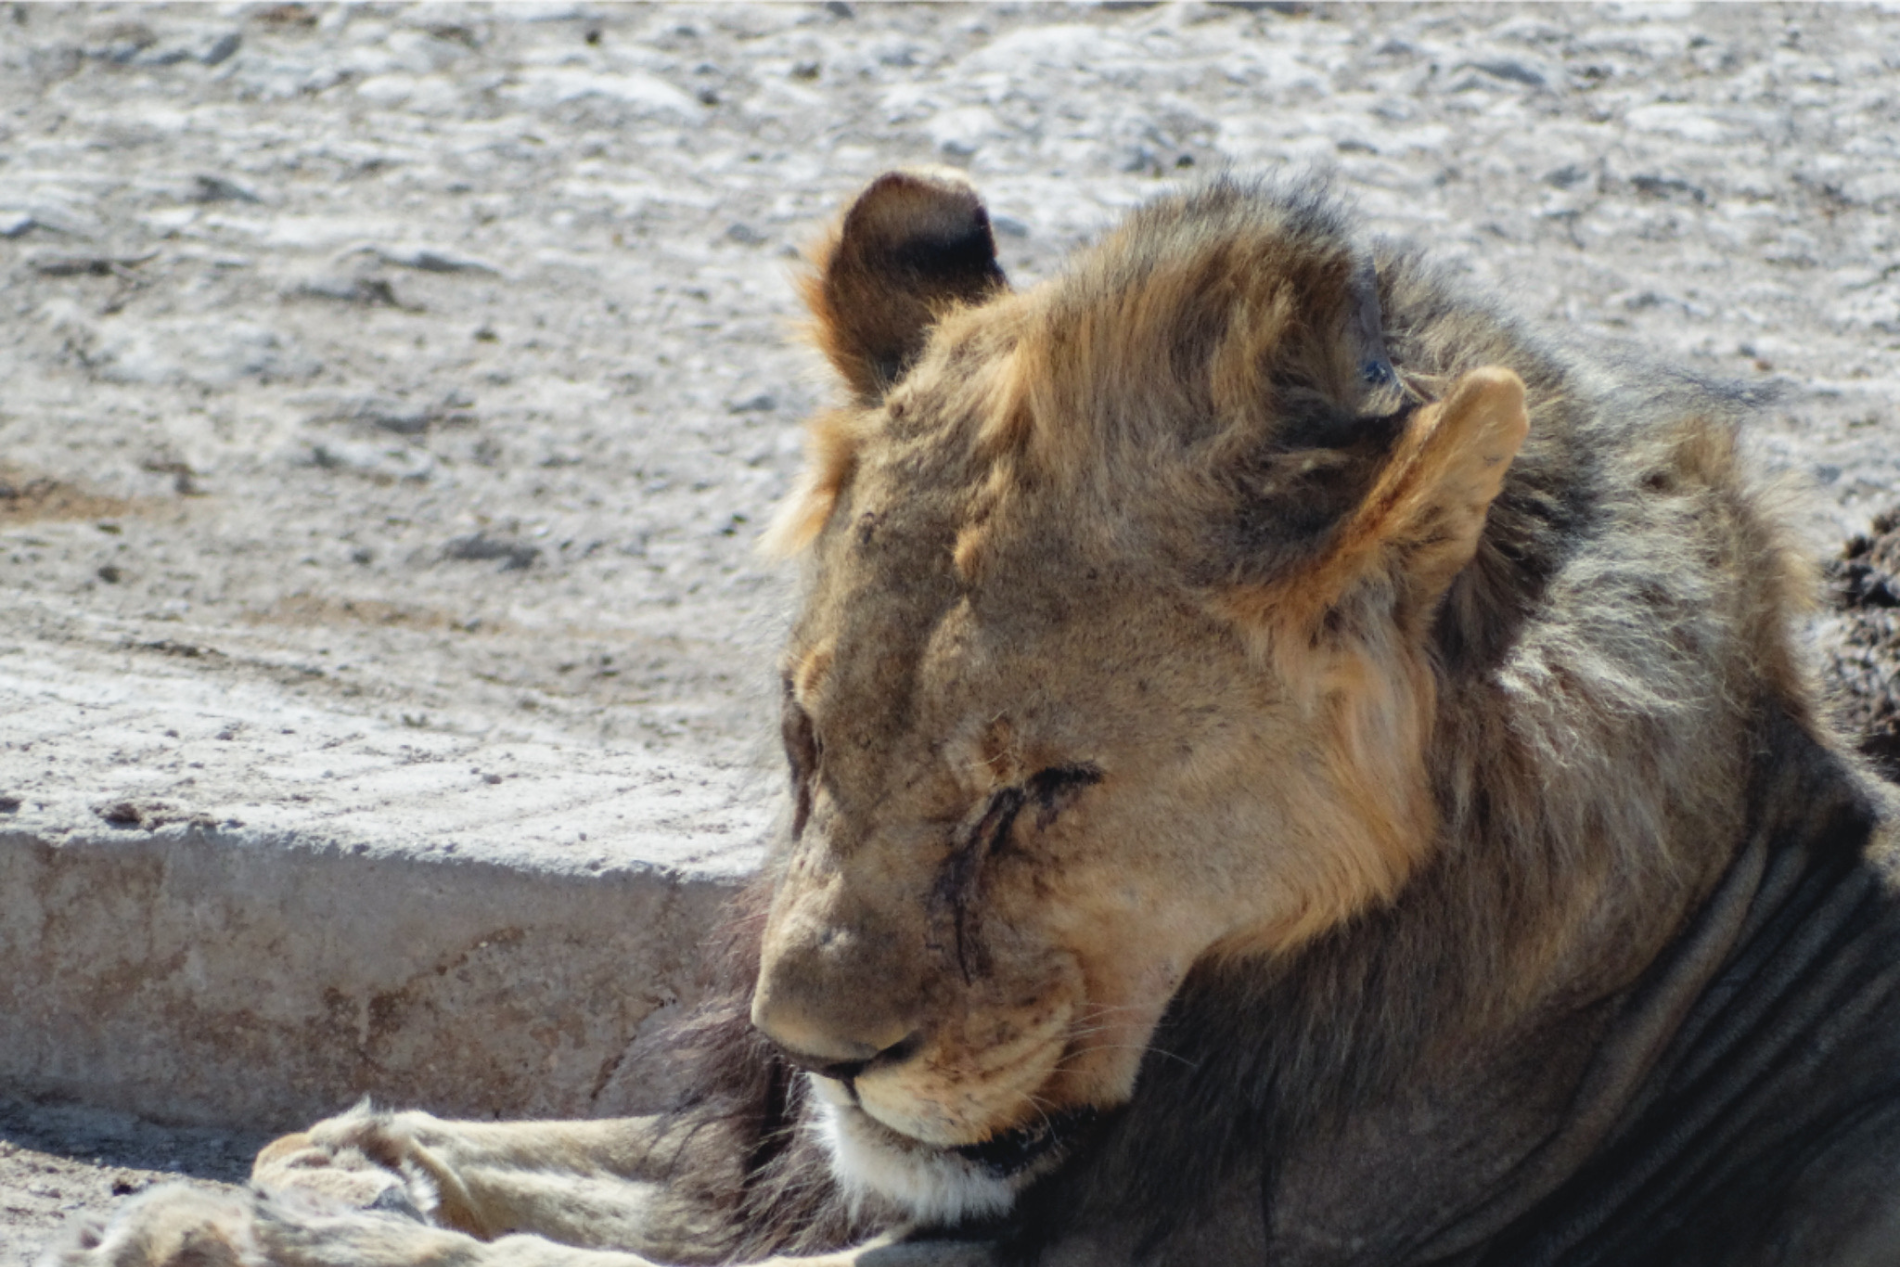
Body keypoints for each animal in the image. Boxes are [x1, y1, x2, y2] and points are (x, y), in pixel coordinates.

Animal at [47, 170, 1900, 1267]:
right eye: (806, 747)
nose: (817, 1053)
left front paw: (256, 1226)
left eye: (1045, 789)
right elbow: (480, 1154)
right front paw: (338, 1163)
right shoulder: (799, 1176)